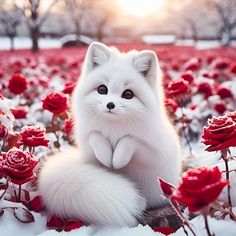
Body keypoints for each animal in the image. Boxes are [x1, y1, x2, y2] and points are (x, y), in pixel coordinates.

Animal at [39, 42, 183, 227]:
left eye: (128, 94)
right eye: (102, 89)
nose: (110, 105)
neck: (113, 129)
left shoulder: (155, 152)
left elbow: (130, 139)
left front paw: (117, 160)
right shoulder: (87, 146)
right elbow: (95, 135)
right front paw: (107, 158)